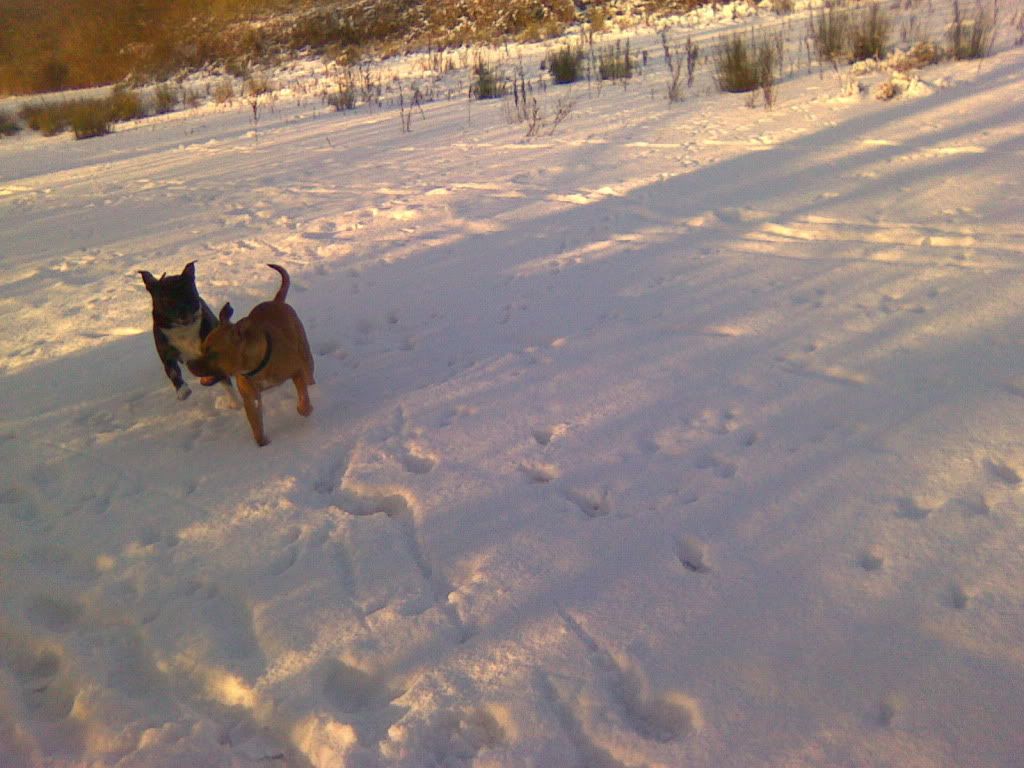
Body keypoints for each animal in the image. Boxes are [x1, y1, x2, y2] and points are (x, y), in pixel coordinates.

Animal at [139, 262, 234, 403]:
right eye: (165, 299)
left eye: (188, 293)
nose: (182, 313)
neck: (183, 328)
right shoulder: (167, 354)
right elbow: (173, 372)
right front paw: (182, 391)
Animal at [197, 264, 313, 444]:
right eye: (202, 348)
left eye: (212, 353)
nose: (190, 364)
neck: (255, 366)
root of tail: (276, 301)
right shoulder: (250, 399)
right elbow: (256, 425)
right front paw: (262, 444)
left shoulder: (296, 370)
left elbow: (303, 395)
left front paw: (305, 409)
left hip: (305, 353)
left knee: (308, 376)